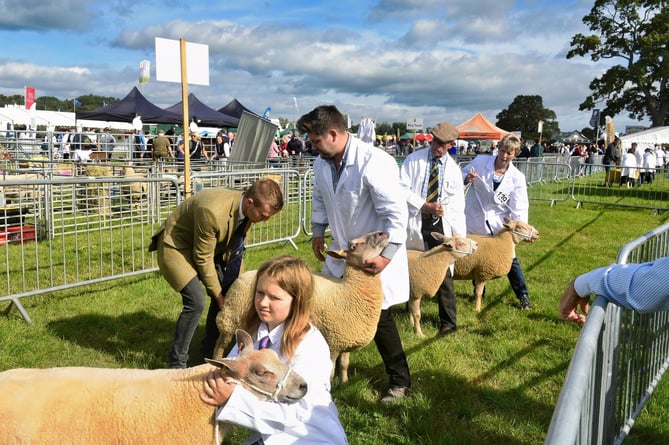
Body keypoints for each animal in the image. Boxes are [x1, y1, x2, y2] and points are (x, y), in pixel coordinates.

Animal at [214, 232, 392, 382]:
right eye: (354, 246)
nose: (383, 233)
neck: (350, 291)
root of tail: (242, 277)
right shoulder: (332, 343)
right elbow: (330, 372)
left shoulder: (346, 339)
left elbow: (344, 364)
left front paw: (344, 383)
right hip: (229, 322)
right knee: (220, 345)